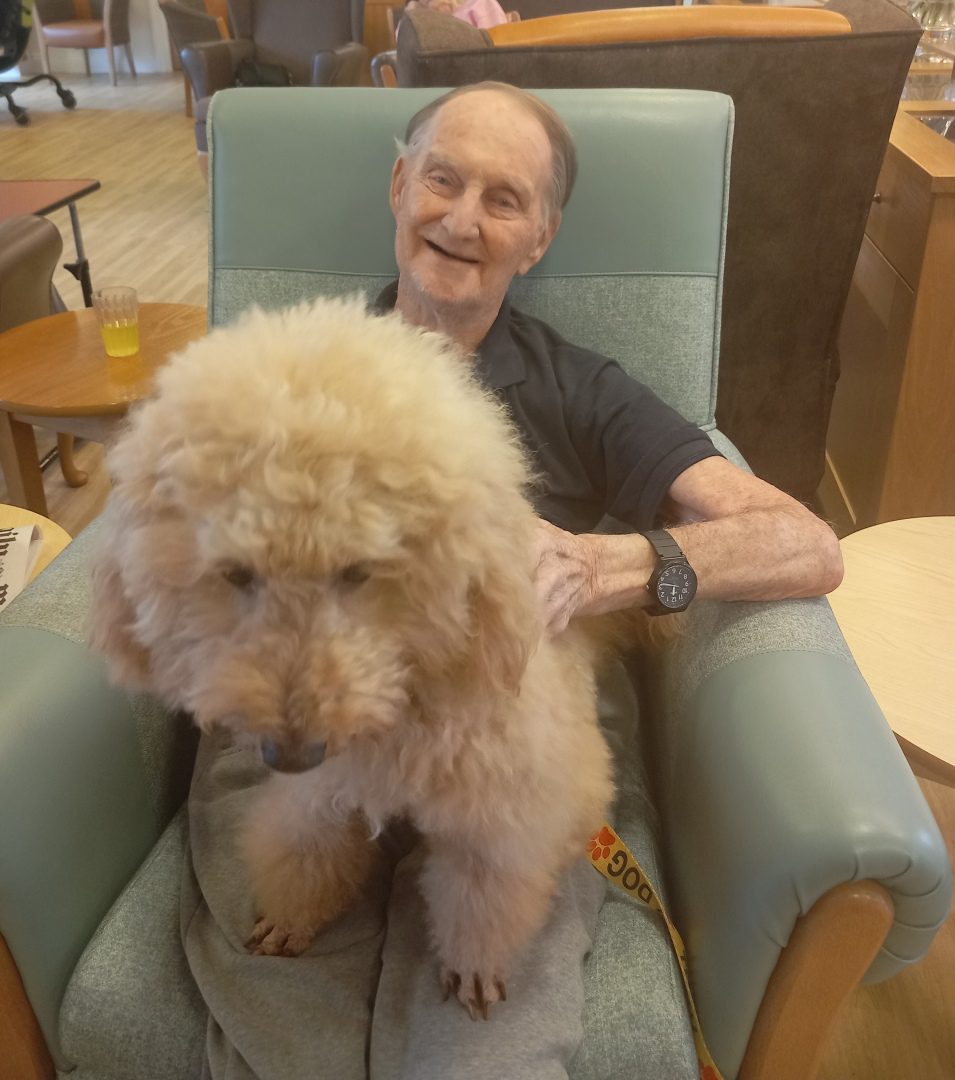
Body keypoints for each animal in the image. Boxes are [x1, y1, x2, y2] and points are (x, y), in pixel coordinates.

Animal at [90, 295, 619, 1019]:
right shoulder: (321, 794)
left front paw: (472, 966)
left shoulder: (494, 820)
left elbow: (482, 898)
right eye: (235, 573)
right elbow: (305, 851)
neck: (400, 712)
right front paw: (291, 920)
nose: (288, 753)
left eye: (359, 571)